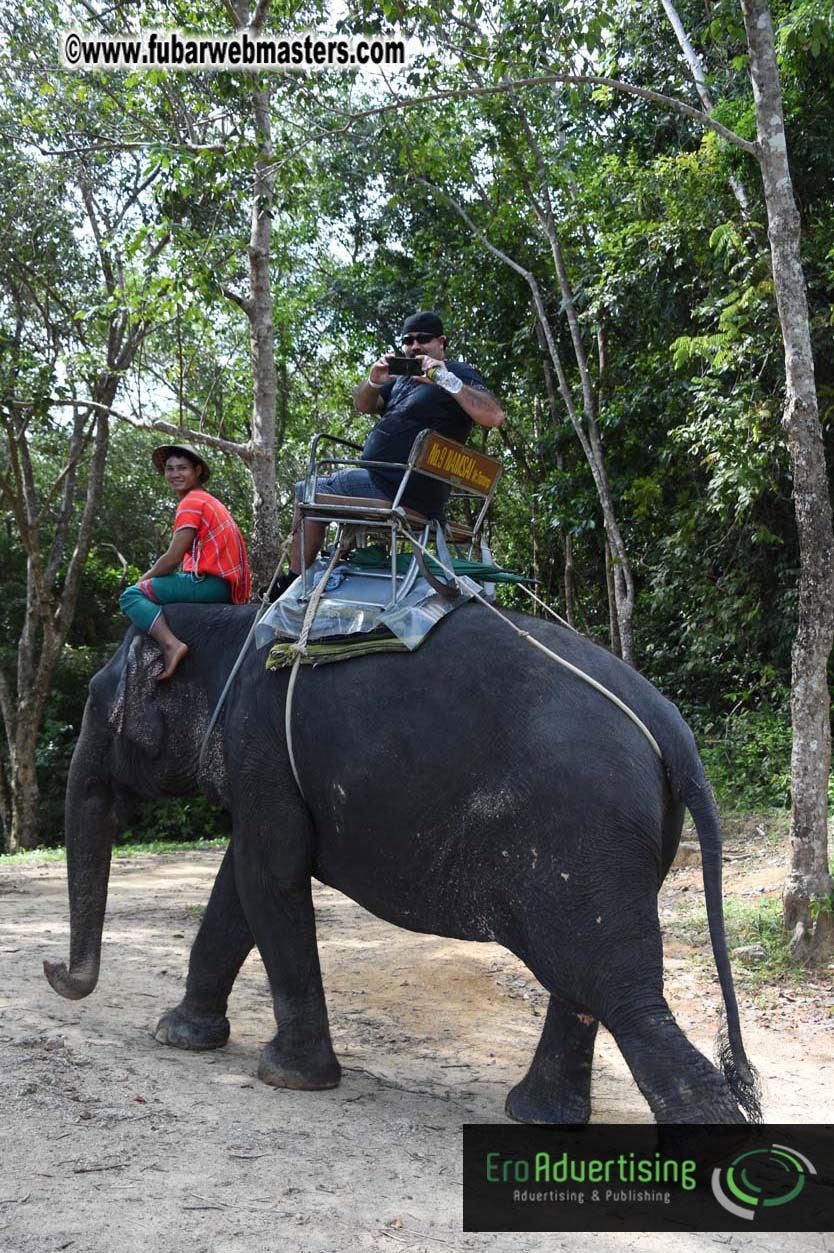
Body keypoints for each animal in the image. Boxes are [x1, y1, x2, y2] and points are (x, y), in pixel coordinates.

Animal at [44, 601, 761, 1125]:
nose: (54, 969)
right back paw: (535, 1115)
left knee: (622, 993)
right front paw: (179, 1035)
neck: (229, 621)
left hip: (585, 833)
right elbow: (238, 884)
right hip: (609, 851)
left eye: (94, 701)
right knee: (585, 983)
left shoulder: (261, 749)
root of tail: (672, 730)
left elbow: (267, 877)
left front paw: (286, 1076)